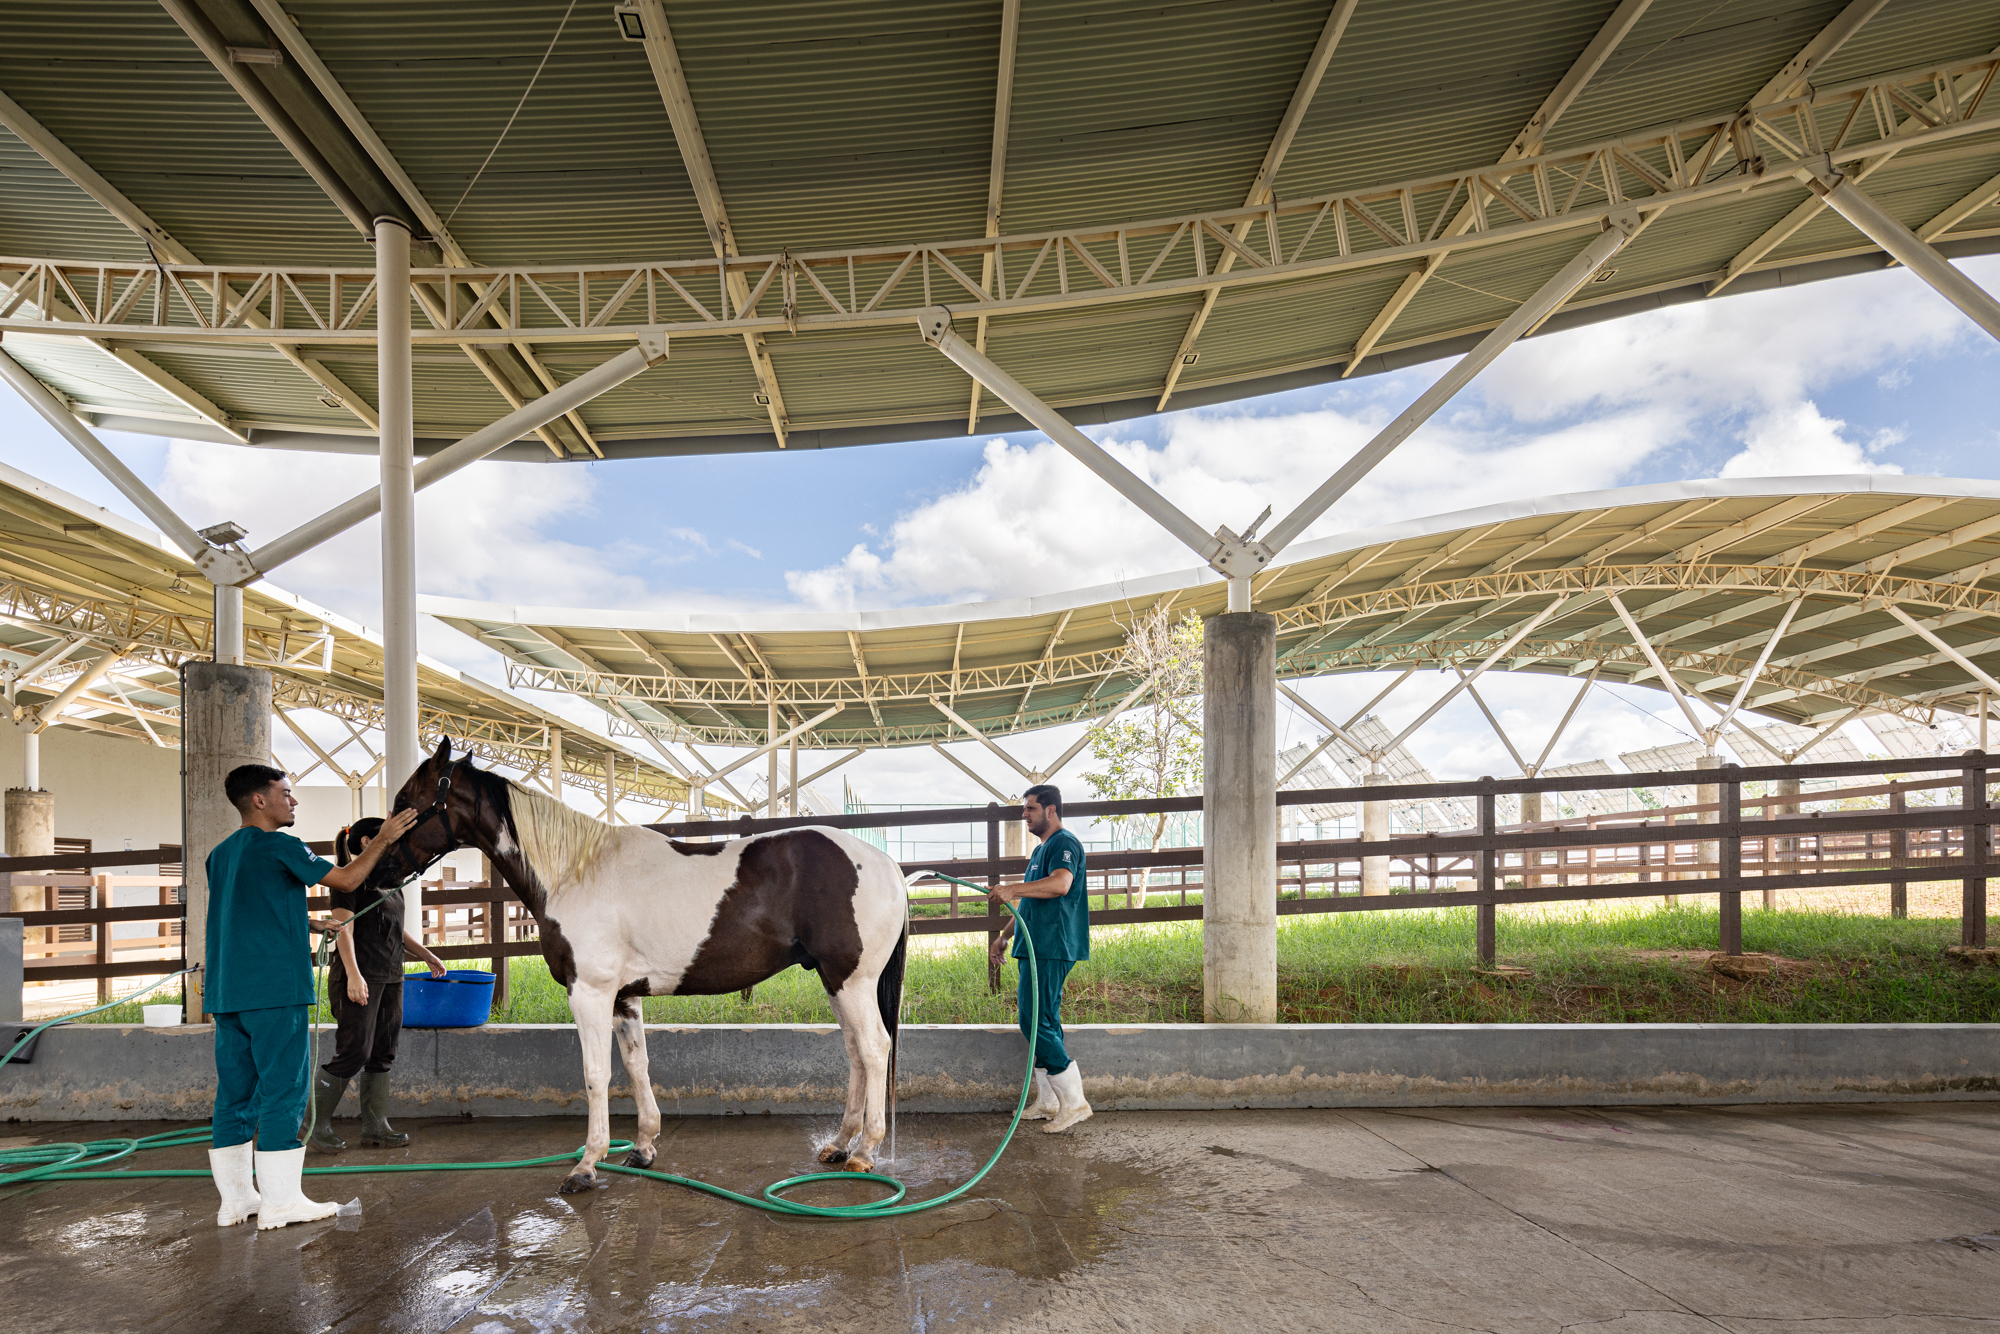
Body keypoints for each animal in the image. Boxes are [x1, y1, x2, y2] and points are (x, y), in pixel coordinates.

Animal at [372, 740, 912, 1192]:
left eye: (407, 801)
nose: (378, 869)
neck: (576, 872)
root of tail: (886, 865)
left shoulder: (588, 992)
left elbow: (596, 1074)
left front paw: (586, 1165)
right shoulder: (624, 997)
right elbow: (636, 1066)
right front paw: (644, 1148)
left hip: (851, 980)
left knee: (874, 1048)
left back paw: (865, 1151)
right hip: (835, 981)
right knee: (856, 1053)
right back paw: (839, 1145)